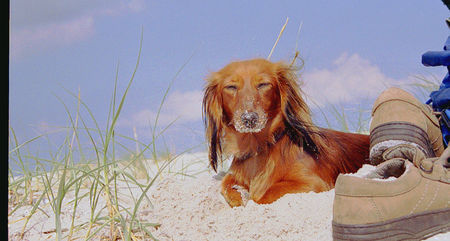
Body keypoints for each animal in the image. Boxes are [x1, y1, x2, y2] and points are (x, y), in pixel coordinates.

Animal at [203, 58, 370, 207]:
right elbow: (226, 183)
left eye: (263, 84)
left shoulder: (313, 183)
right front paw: (239, 194)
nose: (249, 119)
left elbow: (264, 195)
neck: (259, 149)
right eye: (231, 87)